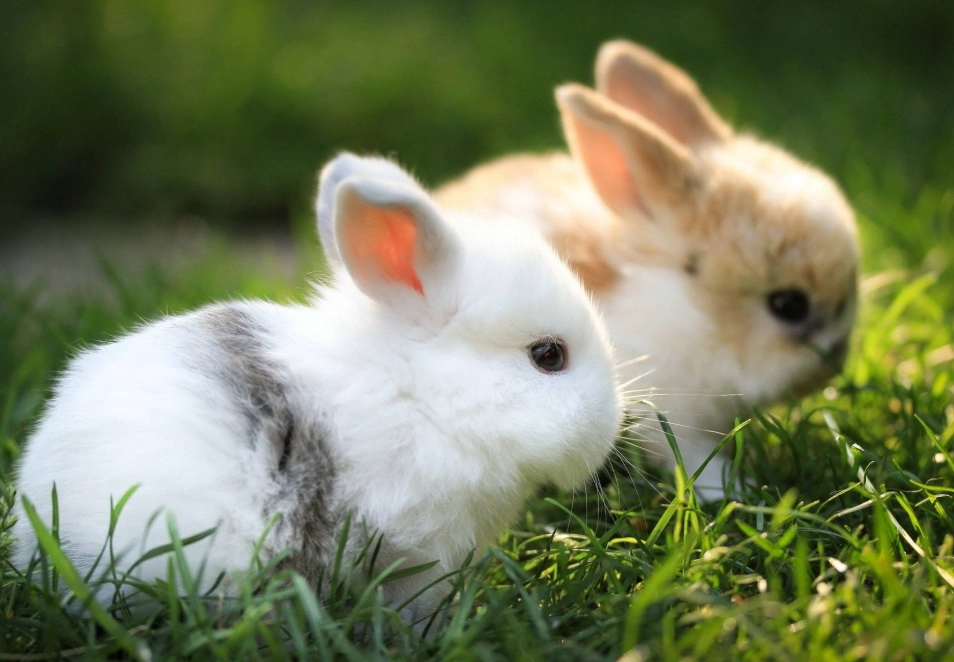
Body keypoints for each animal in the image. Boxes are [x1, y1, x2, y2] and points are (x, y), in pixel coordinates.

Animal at [437, 40, 859, 498]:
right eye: (788, 304)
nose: (833, 364)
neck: (690, 311)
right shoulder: (669, 416)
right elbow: (693, 457)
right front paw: (735, 491)